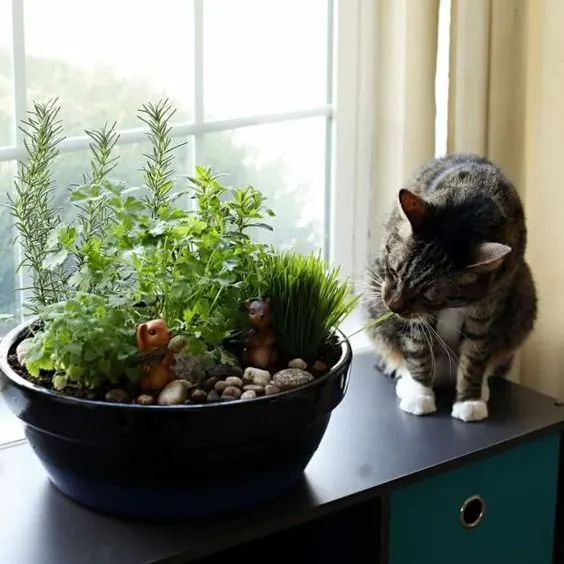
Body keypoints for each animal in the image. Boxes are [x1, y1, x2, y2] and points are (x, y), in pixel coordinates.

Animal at [362, 152, 536, 420]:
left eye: (428, 296)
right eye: (393, 271)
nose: (393, 307)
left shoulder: (489, 301)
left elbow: (476, 352)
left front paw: (469, 400)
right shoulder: (413, 316)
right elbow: (417, 347)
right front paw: (419, 394)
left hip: (524, 295)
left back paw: (482, 388)